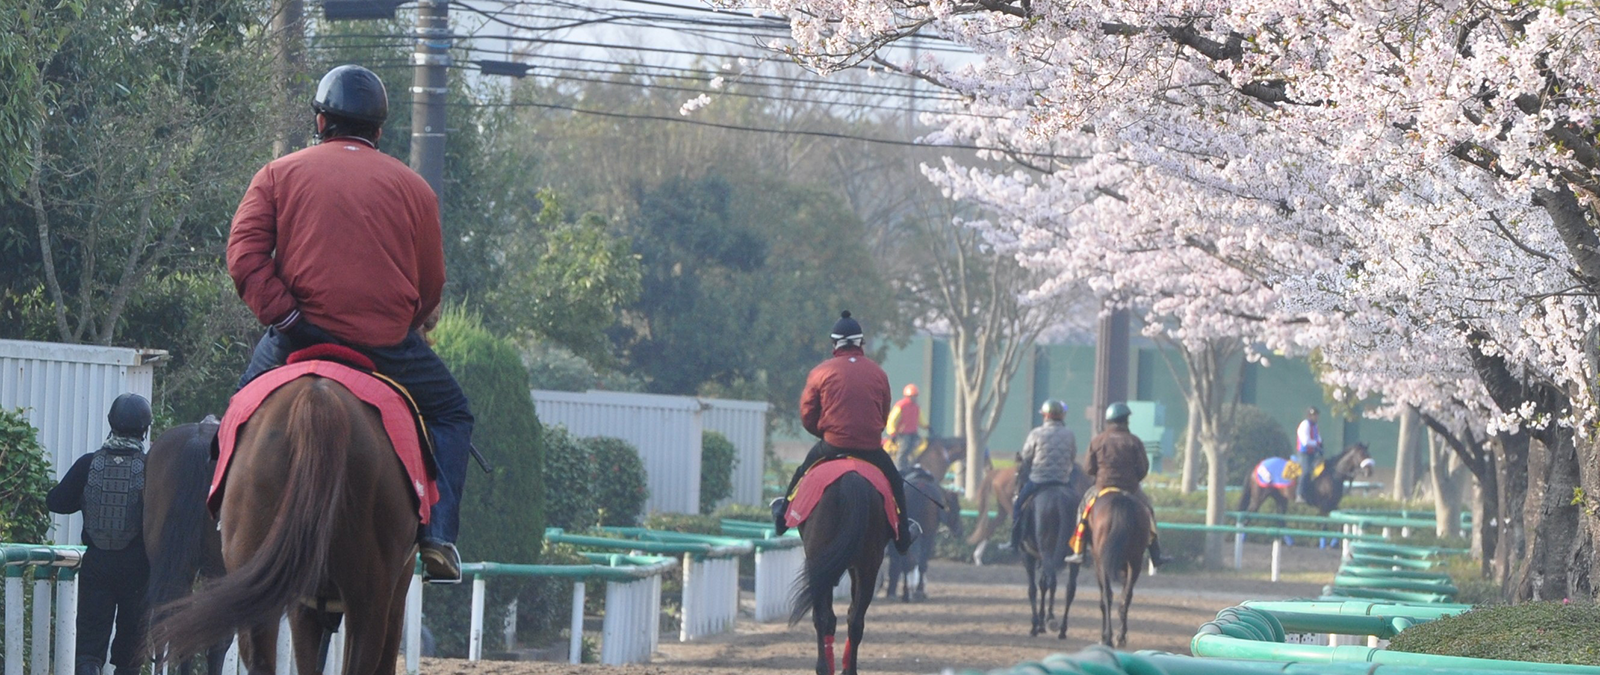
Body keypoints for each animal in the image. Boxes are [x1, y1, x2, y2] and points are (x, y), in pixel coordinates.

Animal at [790, 470, 896, 675]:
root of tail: (851, 481)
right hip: (866, 568)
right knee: (854, 621)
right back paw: (845, 669)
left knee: (825, 617)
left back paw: (825, 668)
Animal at [1062, 486, 1152, 646]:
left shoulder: (1099, 563)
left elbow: (1103, 597)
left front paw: (1104, 636)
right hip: (1135, 561)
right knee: (1127, 596)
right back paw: (1120, 636)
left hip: (1103, 562)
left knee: (1107, 595)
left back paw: (1108, 637)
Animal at [1235, 441, 1376, 518]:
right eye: (1362, 454)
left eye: (1368, 454)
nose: (1369, 471)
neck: (1333, 474)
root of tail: (1257, 465)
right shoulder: (1323, 507)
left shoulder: (1333, 506)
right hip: (1258, 498)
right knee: (1248, 515)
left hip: (1280, 499)